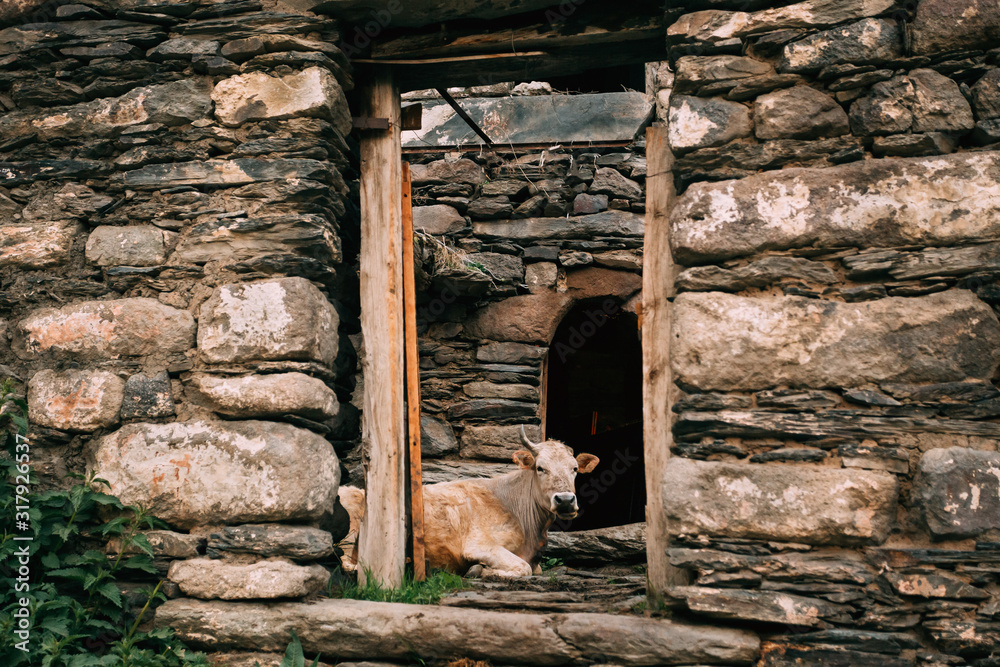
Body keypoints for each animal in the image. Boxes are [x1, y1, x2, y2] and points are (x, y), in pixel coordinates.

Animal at [336, 428, 600, 580]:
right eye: (540, 468)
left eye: (574, 469)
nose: (565, 500)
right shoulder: (480, 545)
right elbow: (523, 568)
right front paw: (480, 571)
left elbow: (534, 569)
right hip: (351, 525)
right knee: (347, 563)